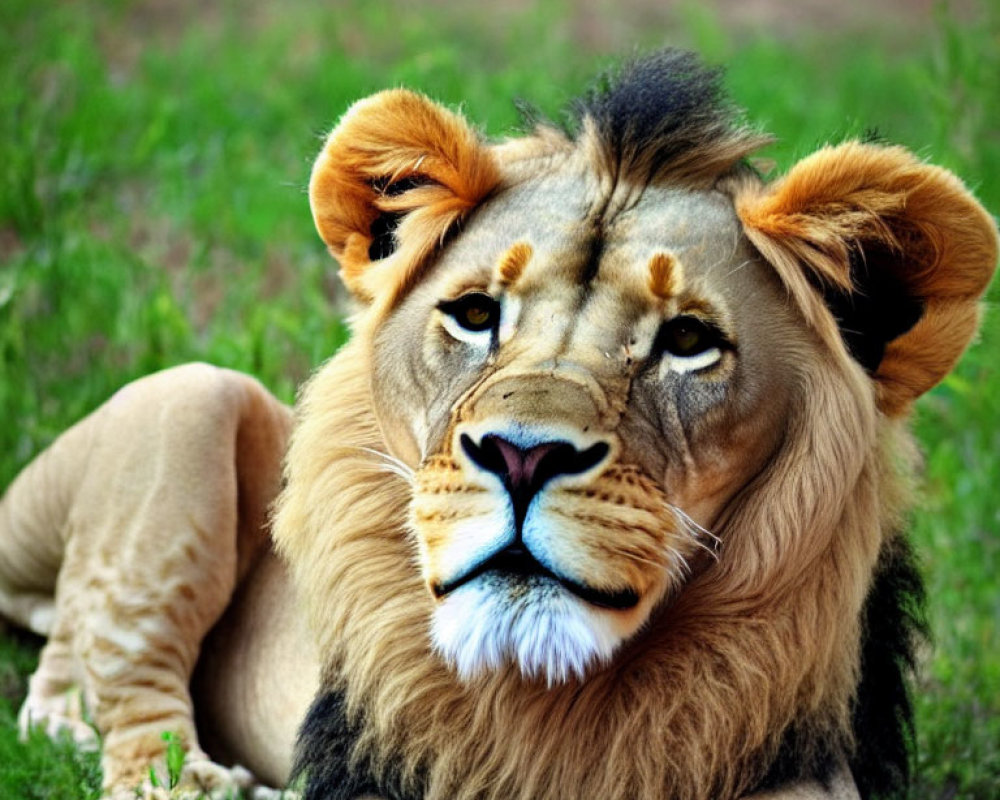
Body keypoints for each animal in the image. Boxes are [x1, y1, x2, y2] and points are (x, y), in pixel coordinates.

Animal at [0, 51, 996, 800]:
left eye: (687, 342)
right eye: (477, 315)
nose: (523, 457)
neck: (543, 704)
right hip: (189, 397)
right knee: (118, 685)